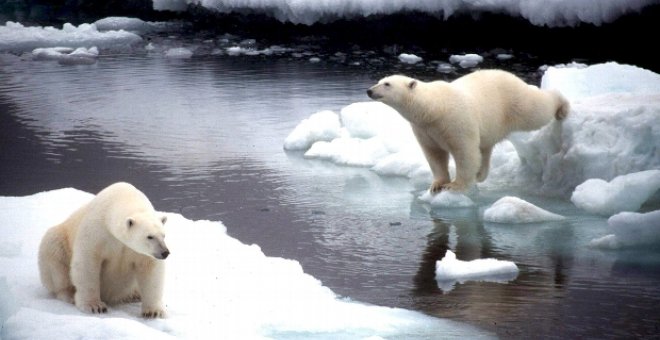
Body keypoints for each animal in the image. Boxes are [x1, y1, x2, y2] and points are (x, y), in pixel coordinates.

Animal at [38, 182, 170, 318]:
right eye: (150, 236)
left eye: (163, 235)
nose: (165, 252)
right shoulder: (97, 232)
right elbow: (87, 262)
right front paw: (94, 306)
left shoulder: (139, 252)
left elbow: (150, 270)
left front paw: (154, 311)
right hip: (59, 241)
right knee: (55, 258)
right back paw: (69, 294)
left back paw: (134, 294)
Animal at [366, 70, 568, 193]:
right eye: (379, 81)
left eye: (387, 84)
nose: (369, 90)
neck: (434, 108)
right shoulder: (425, 129)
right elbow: (434, 154)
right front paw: (437, 185)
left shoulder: (456, 121)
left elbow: (465, 152)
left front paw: (454, 185)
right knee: (485, 148)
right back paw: (480, 174)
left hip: (513, 102)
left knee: (536, 110)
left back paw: (562, 106)